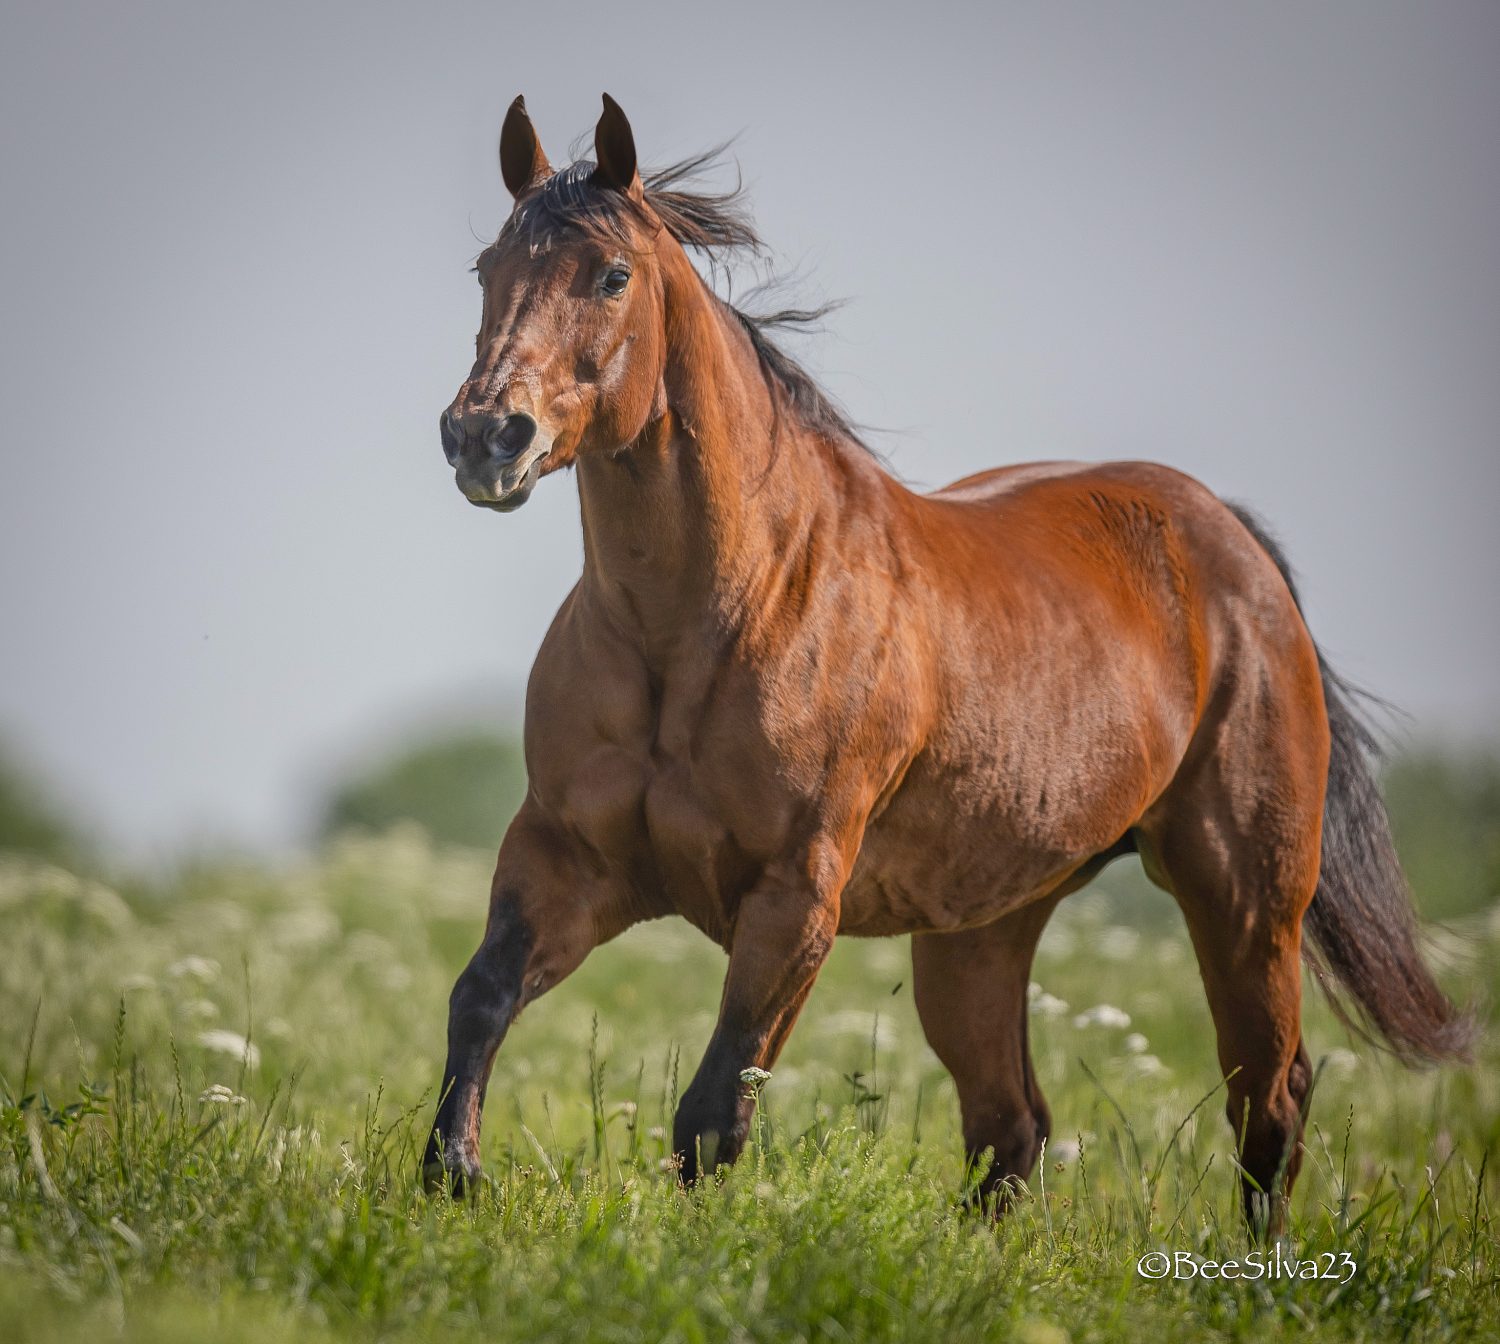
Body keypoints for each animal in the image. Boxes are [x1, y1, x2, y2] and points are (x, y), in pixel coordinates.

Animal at [420, 89, 1464, 1236]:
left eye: (610, 275)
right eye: (486, 267)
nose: (485, 436)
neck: (713, 615)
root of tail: (1232, 545)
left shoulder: (795, 900)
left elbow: (714, 1112)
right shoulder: (566, 857)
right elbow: (479, 1001)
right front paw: (451, 1180)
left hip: (1244, 901)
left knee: (1268, 1098)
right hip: (982, 932)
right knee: (1014, 1125)